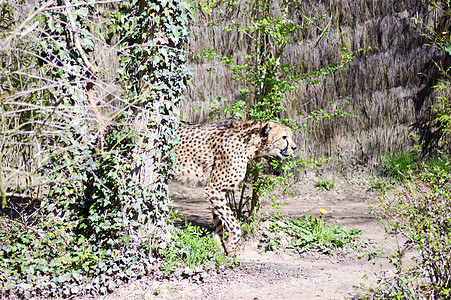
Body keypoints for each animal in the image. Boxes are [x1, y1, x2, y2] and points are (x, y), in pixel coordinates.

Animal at [173, 118, 296, 256]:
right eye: (284, 137)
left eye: (290, 136)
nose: (294, 147)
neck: (251, 144)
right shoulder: (213, 189)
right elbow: (234, 223)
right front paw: (232, 248)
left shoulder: (221, 192)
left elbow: (219, 222)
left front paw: (219, 249)